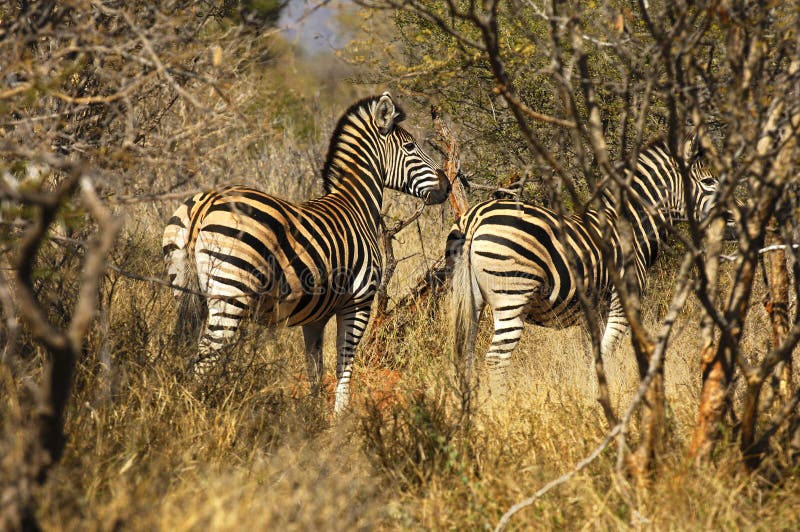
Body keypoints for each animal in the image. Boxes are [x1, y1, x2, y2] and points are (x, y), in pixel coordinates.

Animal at [162, 93, 450, 414]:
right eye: (411, 147)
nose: (447, 186)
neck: (356, 204)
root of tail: (206, 202)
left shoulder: (315, 316)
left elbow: (315, 369)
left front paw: (312, 415)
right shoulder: (358, 301)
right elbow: (344, 364)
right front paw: (340, 416)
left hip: (187, 291)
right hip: (231, 291)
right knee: (205, 358)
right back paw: (202, 409)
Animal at [450, 139, 720, 392]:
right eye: (708, 182)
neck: (631, 226)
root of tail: (475, 218)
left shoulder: (594, 310)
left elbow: (593, 353)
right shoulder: (621, 303)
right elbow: (607, 353)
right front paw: (601, 395)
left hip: (471, 298)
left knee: (467, 352)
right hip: (512, 295)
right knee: (496, 359)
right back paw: (499, 403)